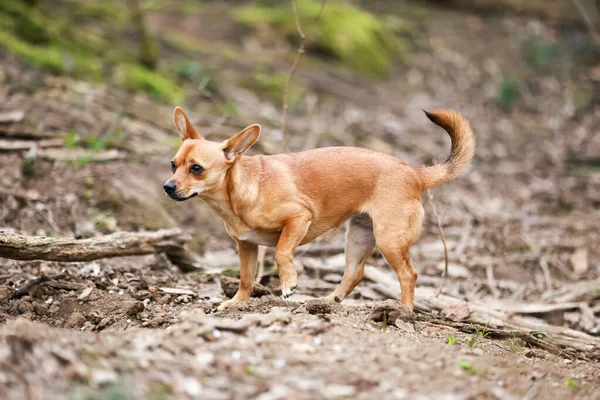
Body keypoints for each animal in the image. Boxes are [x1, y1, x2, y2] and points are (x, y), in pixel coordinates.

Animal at [163, 106, 474, 310]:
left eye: (196, 169)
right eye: (173, 165)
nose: (167, 187)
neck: (241, 188)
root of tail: (415, 174)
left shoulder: (299, 218)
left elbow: (281, 252)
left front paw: (288, 284)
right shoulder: (246, 246)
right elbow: (246, 279)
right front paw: (236, 303)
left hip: (390, 240)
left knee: (408, 275)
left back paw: (405, 311)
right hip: (359, 237)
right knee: (355, 273)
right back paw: (329, 301)